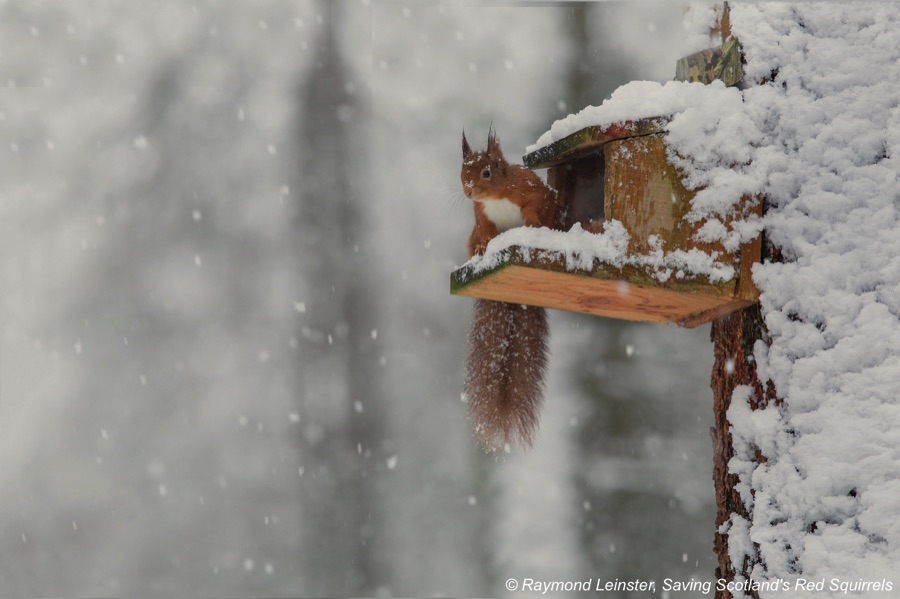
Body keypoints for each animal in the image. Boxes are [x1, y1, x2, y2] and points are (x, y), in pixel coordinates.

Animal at [460, 129, 563, 450]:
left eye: (486, 172)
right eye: (461, 172)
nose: (468, 192)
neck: (495, 196)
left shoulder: (531, 190)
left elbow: (534, 205)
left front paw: (531, 224)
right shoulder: (481, 218)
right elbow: (487, 232)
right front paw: (484, 248)